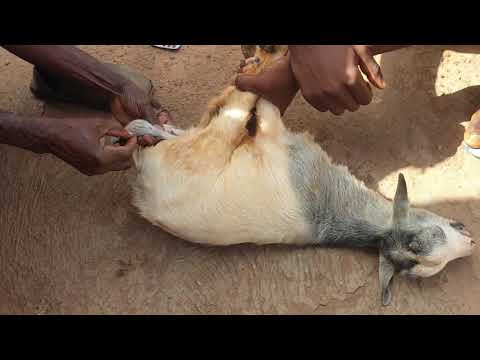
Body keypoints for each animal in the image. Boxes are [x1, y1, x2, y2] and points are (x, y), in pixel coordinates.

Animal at [124, 44, 476, 304]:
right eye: (431, 236)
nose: (472, 242)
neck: (329, 205)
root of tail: (145, 188)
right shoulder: (273, 134)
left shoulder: (271, 134)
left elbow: (261, 101)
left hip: (212, 141)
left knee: (219, 112)